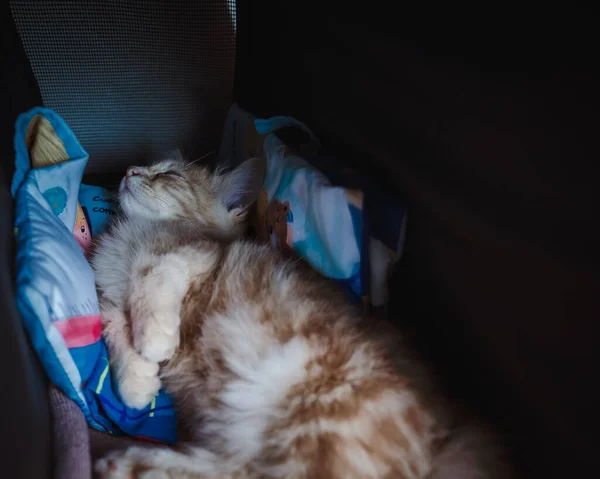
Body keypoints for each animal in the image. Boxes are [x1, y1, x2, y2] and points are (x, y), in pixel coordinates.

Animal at [91, 154, 508, 479]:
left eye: (170, 175)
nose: (129, 170)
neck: (133, 237)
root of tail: (447, 433)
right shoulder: (106, 297)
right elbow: (114, 326)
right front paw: (135, 382)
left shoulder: (196, 254)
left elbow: (154, 272)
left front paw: (154, 339)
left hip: (321, 422)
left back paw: (130, 464)